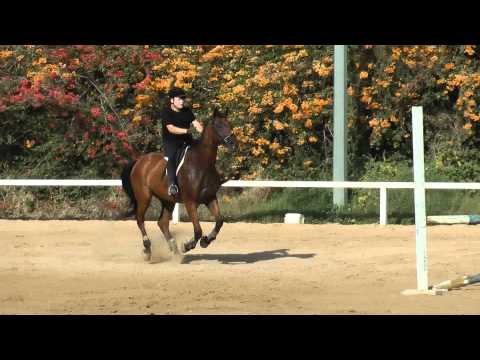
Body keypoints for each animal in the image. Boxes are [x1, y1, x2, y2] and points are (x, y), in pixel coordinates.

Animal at [120, 107, 236, 262]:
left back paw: (174, 250)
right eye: (218, 125)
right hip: (144, 197)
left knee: (162, 223)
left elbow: (219, 221)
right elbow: (198, 230)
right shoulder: (190, 202)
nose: (233, 144)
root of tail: (139, 161)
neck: (202, 163)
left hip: (168, 199)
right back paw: (148, 248)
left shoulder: (210, 198)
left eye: (229, 124)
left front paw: (206, 241)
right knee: (140, 220)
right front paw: (187, 246)